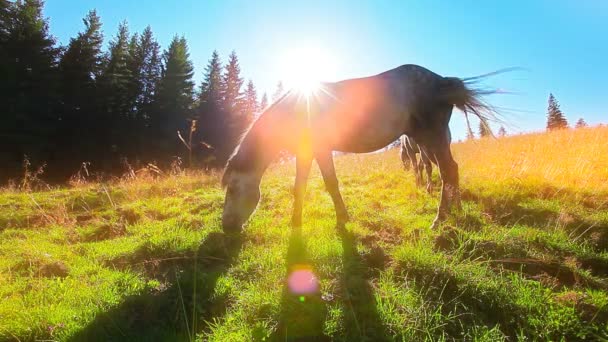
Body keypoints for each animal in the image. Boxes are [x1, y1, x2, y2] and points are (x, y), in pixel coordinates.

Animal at [222, 63, 498, 232]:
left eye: (233, 189)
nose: (226, 227)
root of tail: (442, 82)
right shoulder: (306, 153)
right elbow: (299, 186)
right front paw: (295, 221)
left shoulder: (322, 150)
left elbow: (330, 183)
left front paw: (342, 219)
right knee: (450, 170)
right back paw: (456, 210)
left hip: (431, 137)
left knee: (447, 171)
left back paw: (439, 219)